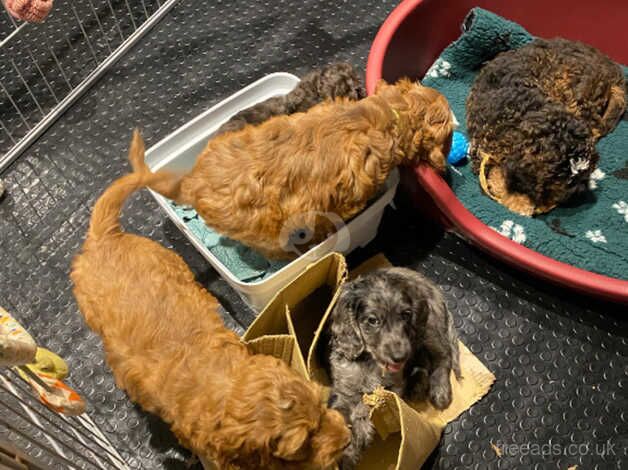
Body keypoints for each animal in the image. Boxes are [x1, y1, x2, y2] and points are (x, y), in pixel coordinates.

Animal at [326, 266, 458, 468]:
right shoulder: (343, 390)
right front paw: (347, 452)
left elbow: (369, 400)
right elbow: (338, 414)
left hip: (428, 330)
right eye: (372, 320)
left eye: (406, 314)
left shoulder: (393, 388)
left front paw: (360, 428)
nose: (400, 357)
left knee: (443, 356)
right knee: (424, 362)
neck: (370, 362)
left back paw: (438, 389)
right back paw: (418, 384)